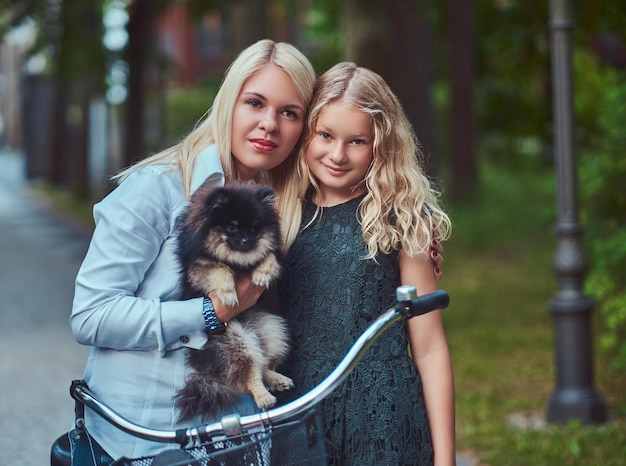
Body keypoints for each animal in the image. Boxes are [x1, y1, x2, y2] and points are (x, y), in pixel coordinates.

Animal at [173, 181, 292, 422]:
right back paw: (263, 397)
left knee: (262, 364)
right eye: (232, 228)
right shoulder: (197, 265)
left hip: (272, 330)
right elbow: (220, 269)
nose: (246, 241)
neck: (239, 260)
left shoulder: (272, 253)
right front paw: (228, 293)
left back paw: (276, 379)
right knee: (249, 375)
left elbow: (268, 257)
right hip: (234, 341)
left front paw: (261, 275)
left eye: (254, 229)